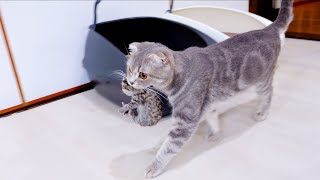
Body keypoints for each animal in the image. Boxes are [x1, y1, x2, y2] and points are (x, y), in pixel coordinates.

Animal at [124, 0, 292, 177]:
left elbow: (168, 147)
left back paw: (262, 112)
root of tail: (268, 29)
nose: (130, 82)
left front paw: (154, 166)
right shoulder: (206, 107)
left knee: (269, 92)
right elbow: (212, 118)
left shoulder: (185, 121)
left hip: (261, 82)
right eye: (130, 69)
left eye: (143, 75)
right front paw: (216, 133)